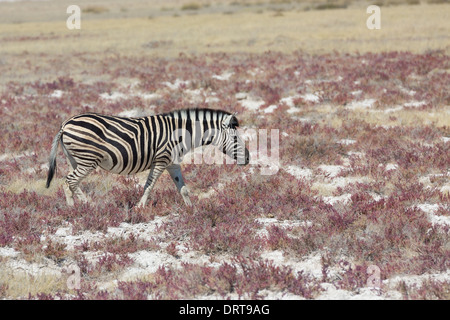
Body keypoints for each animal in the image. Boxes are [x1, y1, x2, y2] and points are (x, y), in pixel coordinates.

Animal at [45, 108, 250, 208]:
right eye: (235, 138)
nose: (248, 158)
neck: (182, 134)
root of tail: (65, 124)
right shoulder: (161, 160)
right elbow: (149, 185)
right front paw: (140, 207)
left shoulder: (173, 163)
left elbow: (183, 189)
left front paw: (192, 210)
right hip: (87, 160)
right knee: (69, 182)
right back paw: (73, 210)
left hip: (75, 159)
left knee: (74, 183)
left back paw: (90, 205)